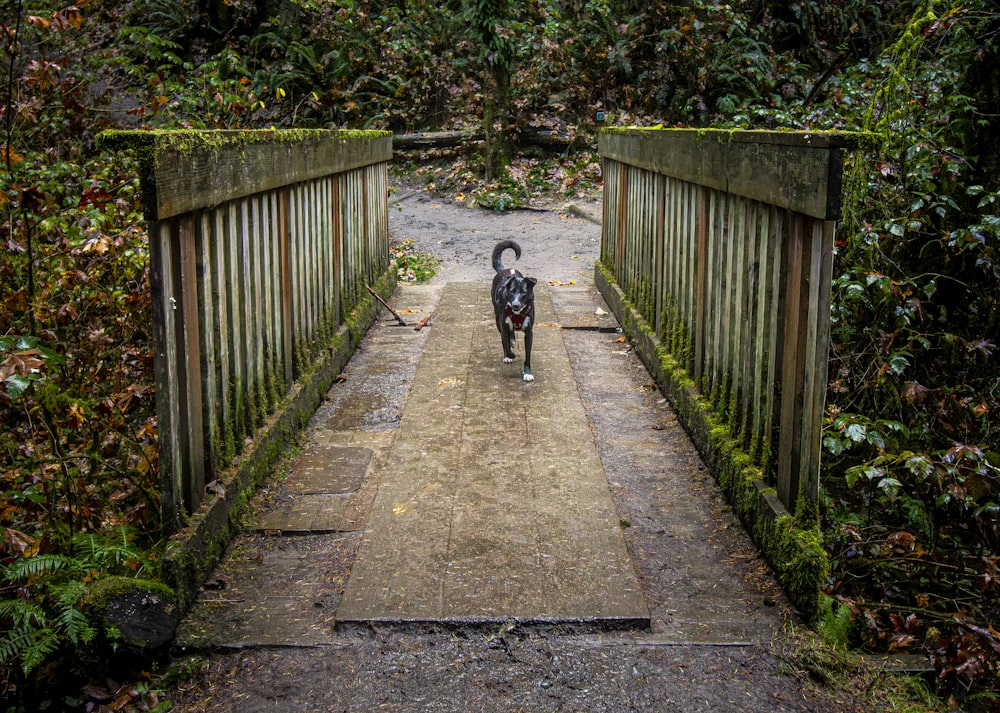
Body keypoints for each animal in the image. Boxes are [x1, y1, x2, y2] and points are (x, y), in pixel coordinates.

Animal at [490, 239, 536, 382]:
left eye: (524, 293)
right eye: (511, 292)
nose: (515, 305)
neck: (517, 313)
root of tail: (505, 270)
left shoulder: (529, 333)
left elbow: (528, 356)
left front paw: (527, 373)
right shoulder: (504, 326)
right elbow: (506, 343)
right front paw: (510, 355)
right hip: (498, 321)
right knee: (505, 339)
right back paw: (507, 354)